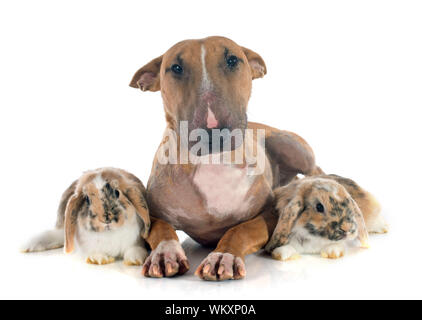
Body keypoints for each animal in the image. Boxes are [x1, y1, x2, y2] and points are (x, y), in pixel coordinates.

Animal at [21, 168, 151, 264]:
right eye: (87, 199)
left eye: (117, 192)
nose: (106, 219)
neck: (109, 234)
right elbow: (94, 252)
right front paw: (99, 259)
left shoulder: (135, 241)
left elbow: (134, 249)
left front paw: (134, 260)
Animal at [130, 36, 322, 280]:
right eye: (175, 68)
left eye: (232, 60)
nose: (213, 129)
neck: (213, 162)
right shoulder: (149, 213)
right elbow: (161, 228)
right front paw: (165, 254)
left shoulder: (271, 213)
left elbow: (240, 229)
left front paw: (224, 256)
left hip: (293, 148)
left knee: (317, 170)